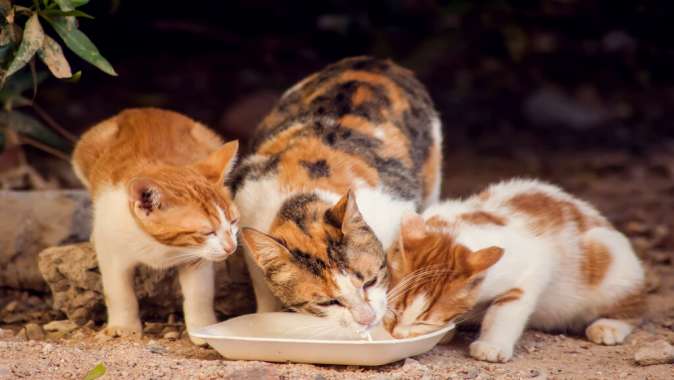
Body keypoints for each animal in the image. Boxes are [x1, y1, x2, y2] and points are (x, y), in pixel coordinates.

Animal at [70, 107, 238, 344]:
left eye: (233, 222)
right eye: (207, 231)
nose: (231, 247)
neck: (160, 247)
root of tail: (141, 110)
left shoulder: (198, 259)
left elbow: (199, 295)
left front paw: (203, 328)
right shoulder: (111, 252)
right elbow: (118, 292)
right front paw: (123, 326)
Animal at [234, 56, 444, 336]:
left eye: (370, 281)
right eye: (328, 302)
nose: (367, 318)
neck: (299, 199)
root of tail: (372, 61)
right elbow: (264, 291)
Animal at [384, 178, 640, 362]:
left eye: (425, 322)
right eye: (394, 311)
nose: (398, 335)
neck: (457, 231)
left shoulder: (533, 266)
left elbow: (505, 310)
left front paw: (491, 345)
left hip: (611, 264)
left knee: (635, 306)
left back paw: (609, 326)